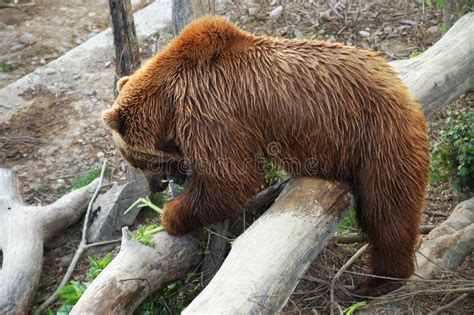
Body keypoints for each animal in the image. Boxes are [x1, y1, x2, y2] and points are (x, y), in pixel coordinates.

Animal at [103, 14, 430, 296]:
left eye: (137, 161)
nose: (157, 186)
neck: (170, 101)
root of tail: (402, 89)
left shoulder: (209, 109)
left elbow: (230, 177)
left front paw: (171, 215)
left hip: (377, 138)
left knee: (386, 211)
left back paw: (378, 281)